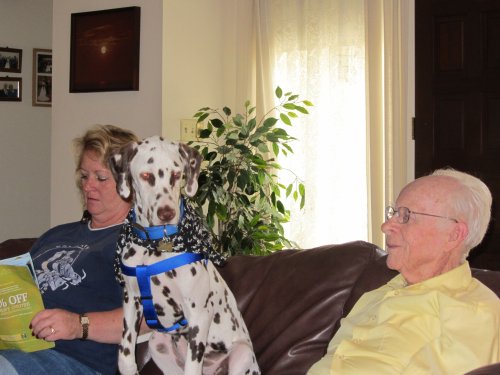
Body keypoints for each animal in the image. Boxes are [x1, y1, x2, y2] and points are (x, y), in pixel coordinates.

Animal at [108, 137, 258, 375]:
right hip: (158, 344)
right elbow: (125, 357)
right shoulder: (131, 302)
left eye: (177, 174)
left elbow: (192, 366)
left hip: (242, 355)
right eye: (146, 175)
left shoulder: (198, 315)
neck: (155, 245)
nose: (166, 213)